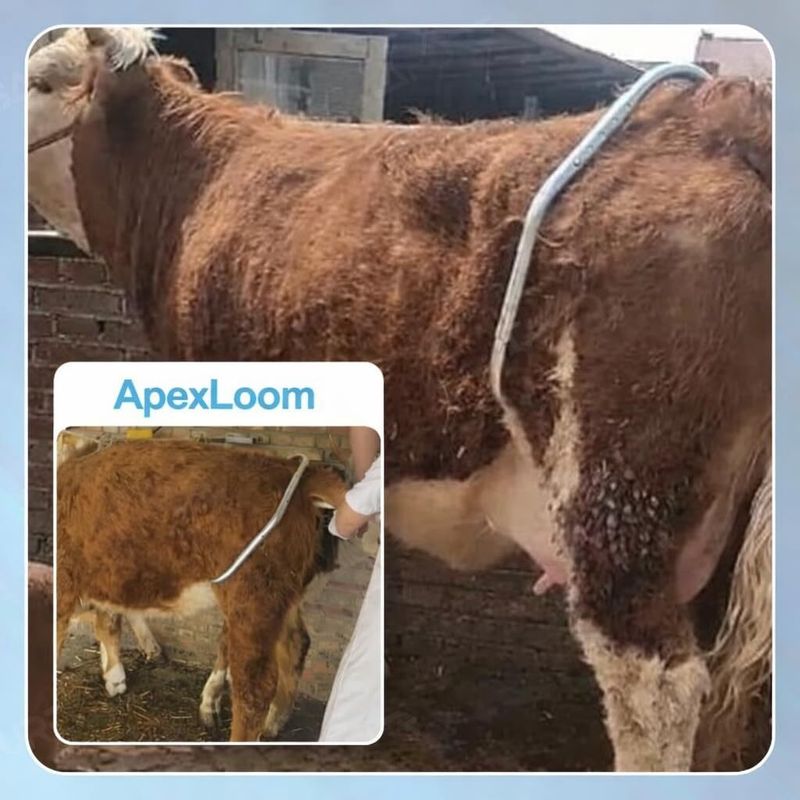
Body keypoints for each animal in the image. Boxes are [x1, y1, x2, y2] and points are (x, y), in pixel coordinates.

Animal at [56, 439, 346, 741]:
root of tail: (294, 473)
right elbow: (110, 618)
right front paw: (115, 676)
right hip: (281, 595)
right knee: (296, 642)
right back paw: (273, 722)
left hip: (253, 595)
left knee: (254, 687)